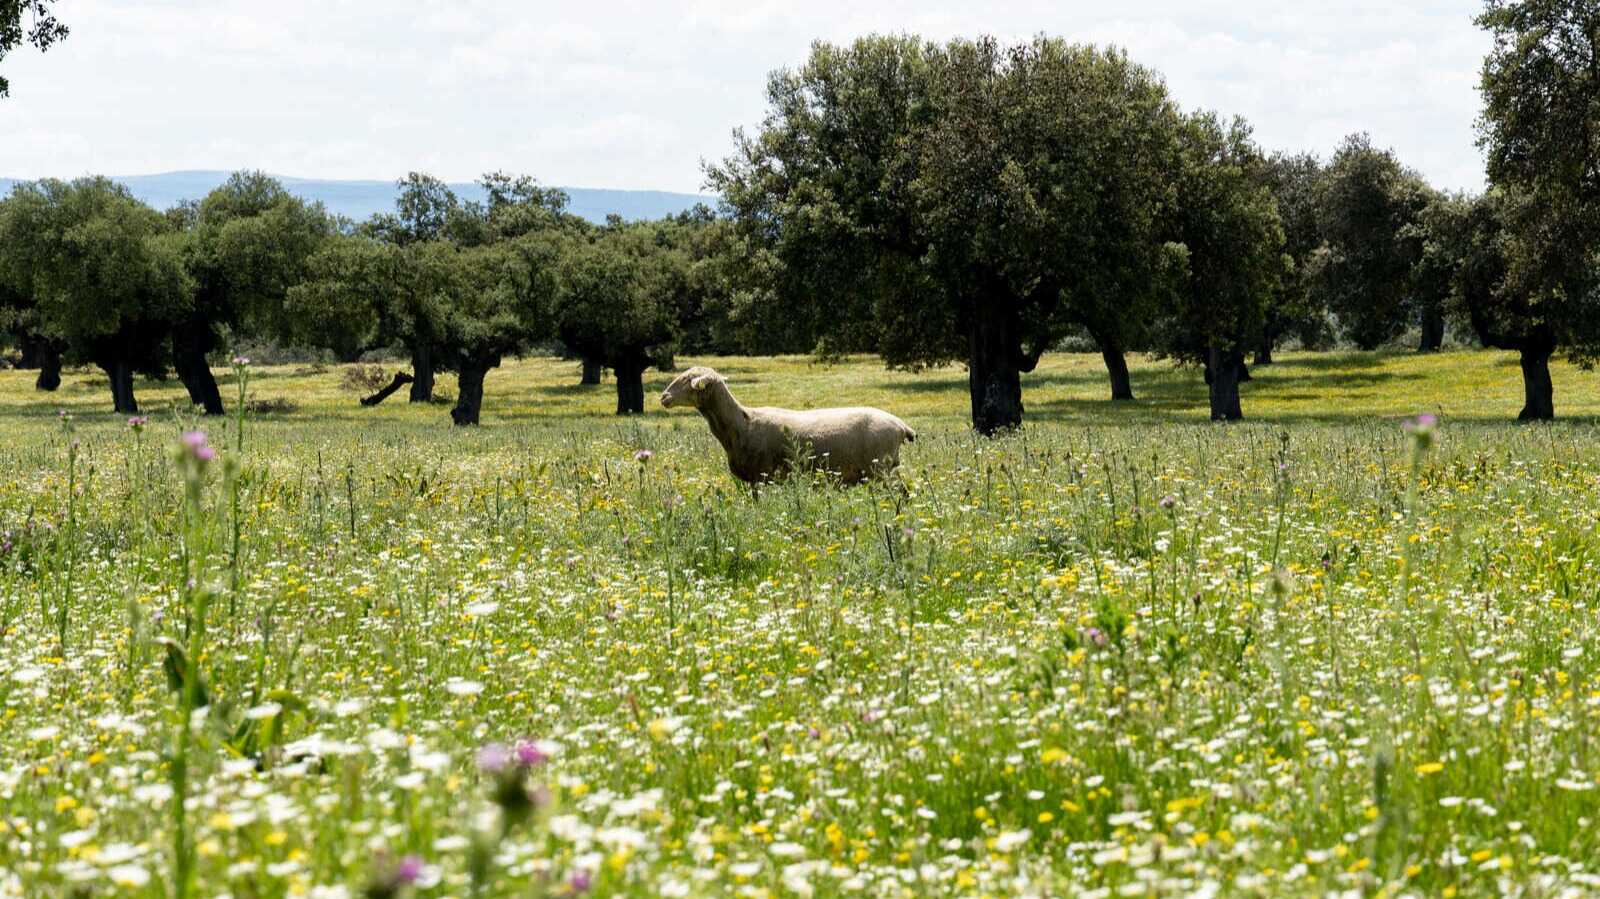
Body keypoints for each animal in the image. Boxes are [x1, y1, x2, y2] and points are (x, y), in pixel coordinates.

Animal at [659, 366, 915, 485]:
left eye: (687, 379)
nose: (663, 397)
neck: (742, 423)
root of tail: (900, 425)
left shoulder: (761, 478)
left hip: (881, 469)